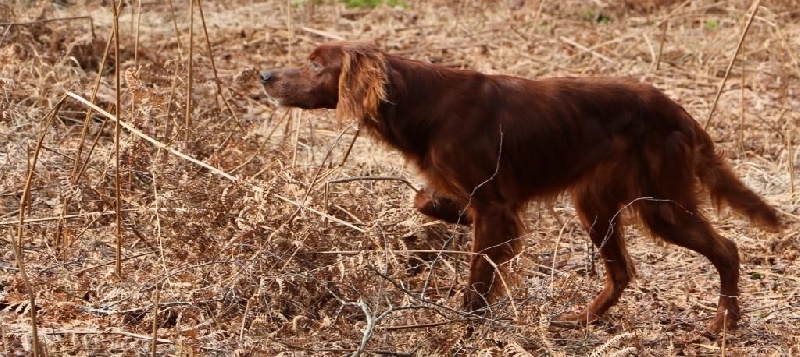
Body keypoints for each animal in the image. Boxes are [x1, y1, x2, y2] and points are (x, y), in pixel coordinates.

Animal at [262, 41, 780, 330]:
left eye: (316, 65)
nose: (265, 75)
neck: (420, 103)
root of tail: (678, 112)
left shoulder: (494, 206)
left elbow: (478, 278)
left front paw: (465, 328)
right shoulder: (483, 200)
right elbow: (424, 199)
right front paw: (448, 214)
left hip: (660, 204)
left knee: (727, 249)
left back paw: (724, 323)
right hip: (596, 204)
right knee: (622, 272)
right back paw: (582, 318)